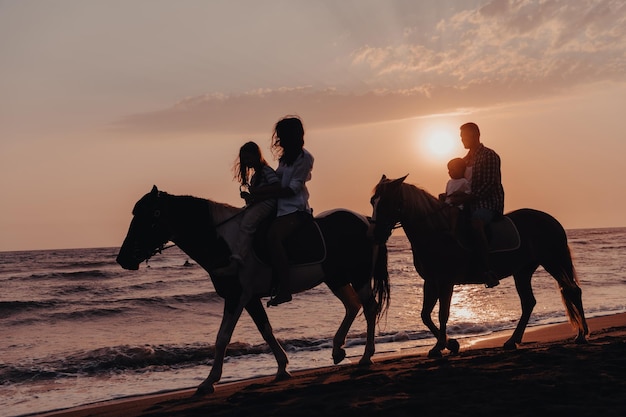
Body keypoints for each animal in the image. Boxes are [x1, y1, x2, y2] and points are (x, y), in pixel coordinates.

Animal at [115, 187, 388, 394]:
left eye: (146, 217)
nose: (122, 258)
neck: (223, 241)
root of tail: (365, 219)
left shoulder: (237, 296)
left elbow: (222, 338)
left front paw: (209, 381)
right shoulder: (251, 298)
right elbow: (265, 330)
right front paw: (282, 368)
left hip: (359, 276)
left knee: (369, 308)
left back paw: (366, 356)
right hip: (335, 278)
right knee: (353, 306)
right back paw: (338, 349)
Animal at [368, 176, 588, 358]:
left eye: (386, 202)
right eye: (373, 202)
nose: (375, 234)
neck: (436, 231)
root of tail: (551, 220)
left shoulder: (446, 282)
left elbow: (442, 314)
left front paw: (440, 347)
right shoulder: (430, 281)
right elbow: (425, 315)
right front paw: (450, 344)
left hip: (554, 261)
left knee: (573, 291)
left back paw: (581, 335)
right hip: (523, 271)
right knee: (529, 302)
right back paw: (512, 340)